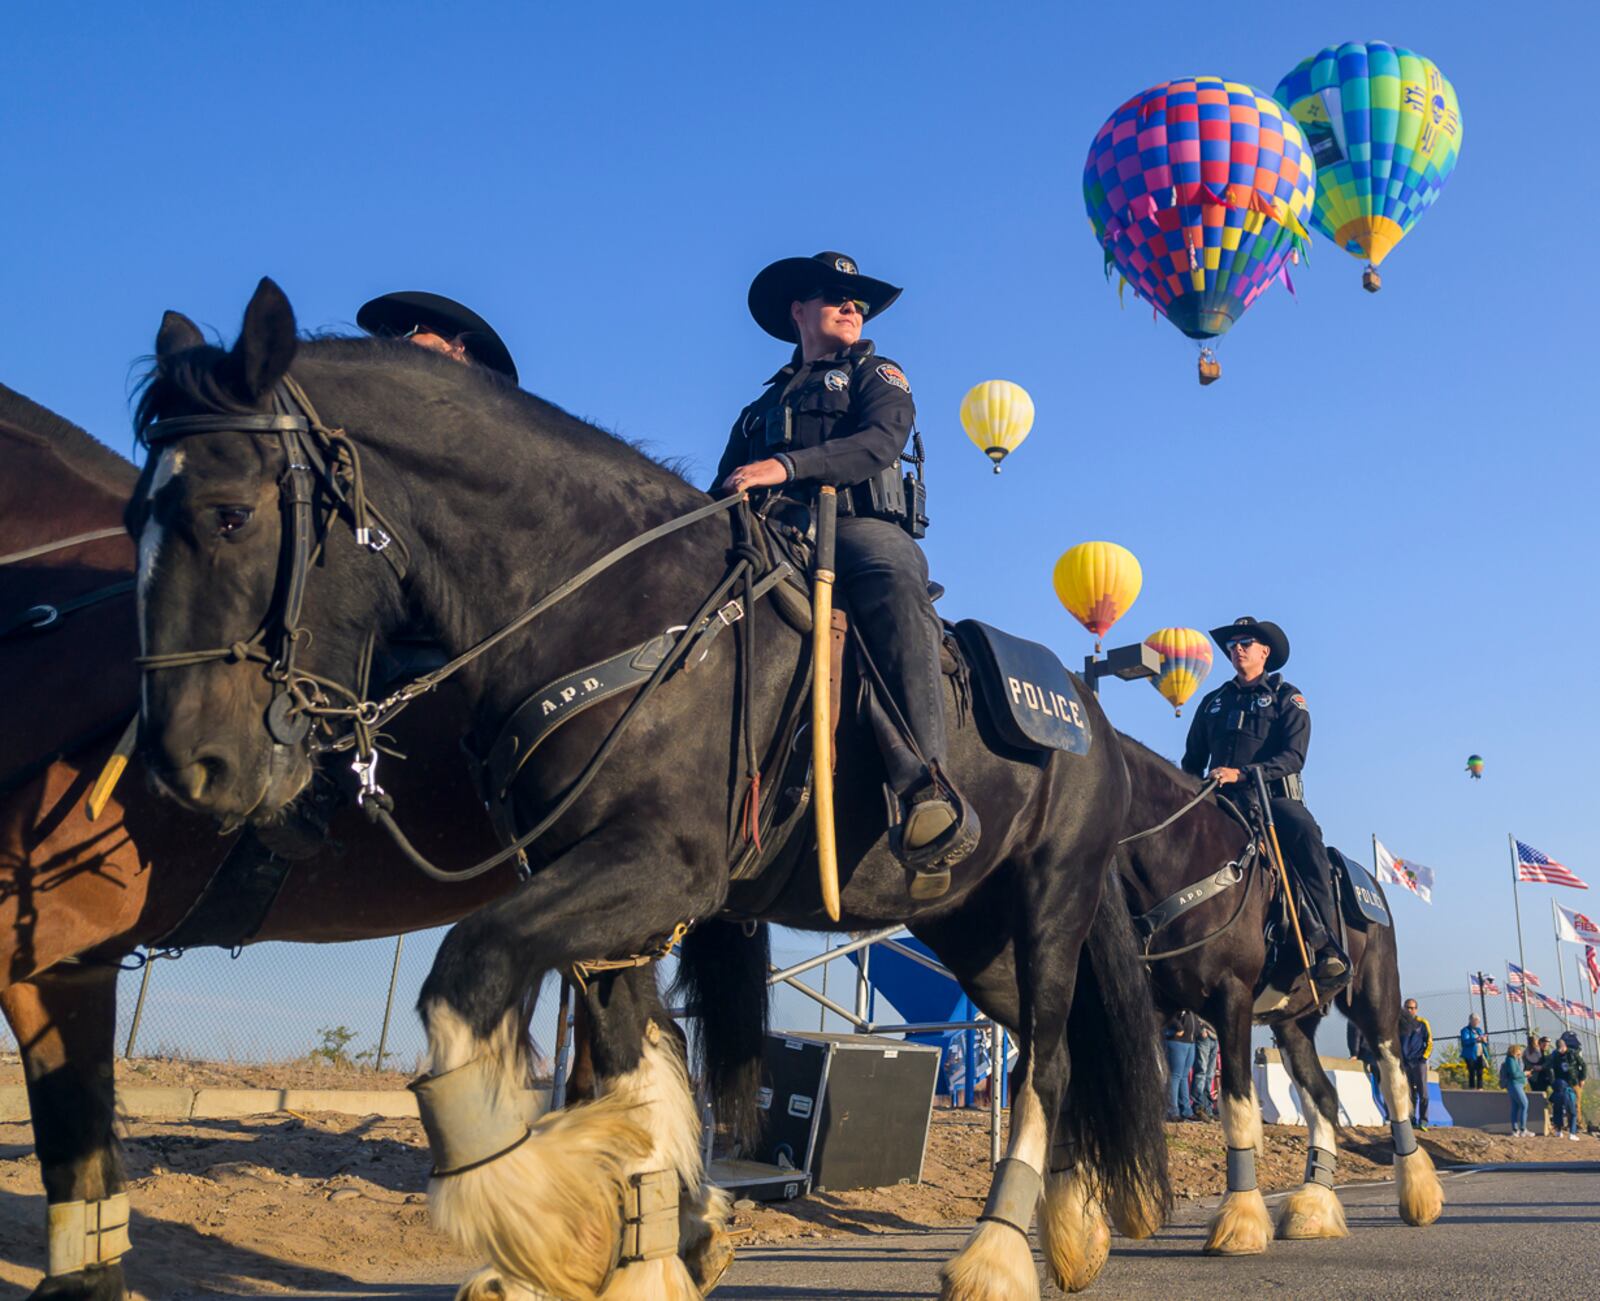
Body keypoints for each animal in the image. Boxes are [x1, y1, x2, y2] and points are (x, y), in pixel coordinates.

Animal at [131, 281, 1171, 1299]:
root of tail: (1095, 723)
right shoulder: (599, 884)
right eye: (137, 516)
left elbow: (471, 972)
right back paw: (1075, 1225)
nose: (188, 761)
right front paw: (650, 1243)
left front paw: (540, 1223)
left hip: (1048, 902)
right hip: (973, 928)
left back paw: (996, 1254)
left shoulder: (660, 868)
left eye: (230, 514)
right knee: (1059, 1048)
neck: (613, 607)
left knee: (1048, 1061)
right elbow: (632, 1066)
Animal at [1120, 742, 1446, 1260]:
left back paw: (1419, 1194)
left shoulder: (1230, 999)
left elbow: (1237, 1107)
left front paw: (1239, 1221)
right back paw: (1314, 1204)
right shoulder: (1157, 1006)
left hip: (1376, 1003)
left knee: (1395, 1086)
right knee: (1325, 1099)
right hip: (1292, 1025)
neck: (1184, 859)